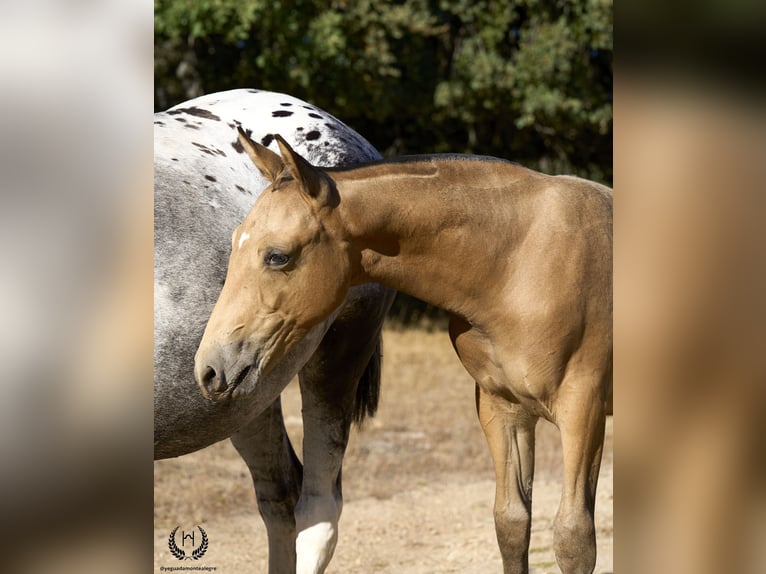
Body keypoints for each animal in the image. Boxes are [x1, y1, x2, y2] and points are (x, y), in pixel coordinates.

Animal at [196, 132, 612, 574]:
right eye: (234, 243)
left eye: (277, 256)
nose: (209, 369)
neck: (517, 263)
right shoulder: (504, 409)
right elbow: (512, 522)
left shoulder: (582, 408)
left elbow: (573, 538)